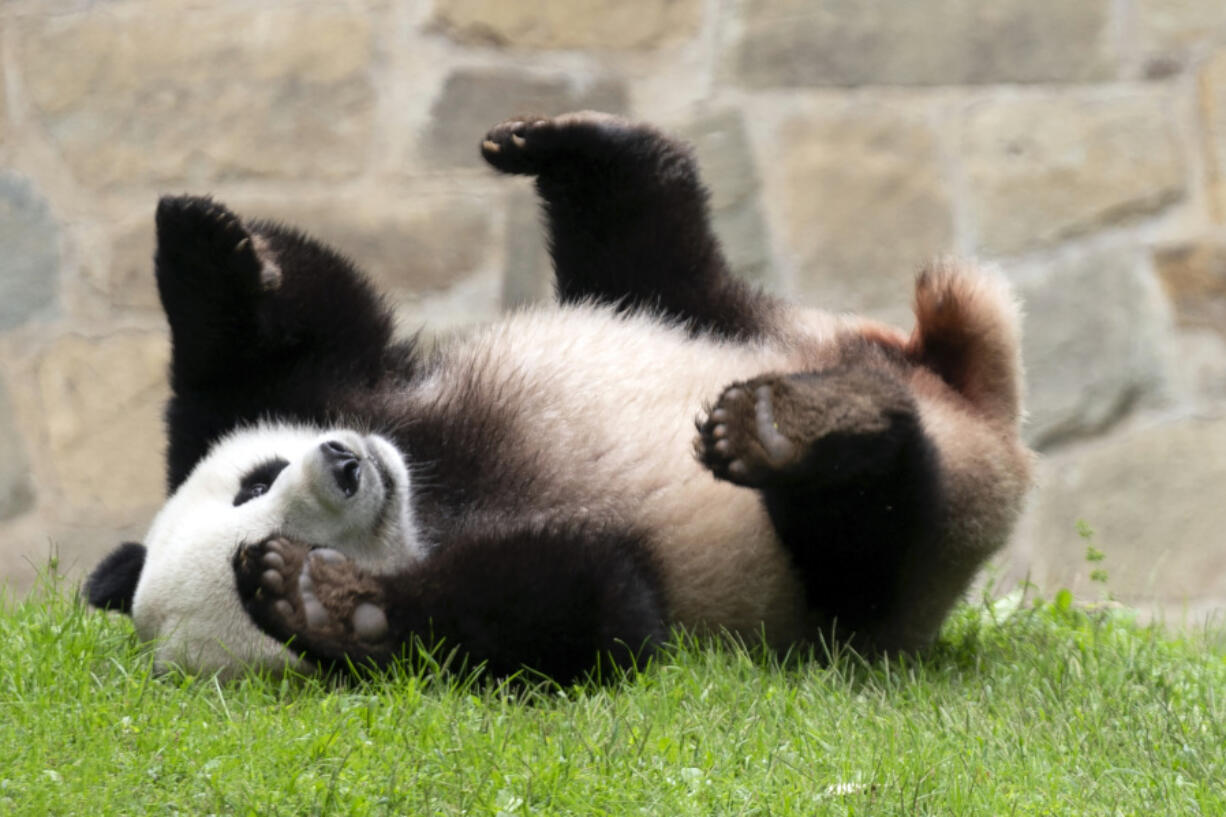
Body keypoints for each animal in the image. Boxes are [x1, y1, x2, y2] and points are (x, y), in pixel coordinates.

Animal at [81, 109, 1029, 682]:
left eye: (255, 480)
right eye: (278, 521)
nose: (346, 465)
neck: (432, 492)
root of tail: (977, 406)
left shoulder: (350, 392)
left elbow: (293, 337)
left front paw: (201, 242)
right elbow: (594, 612)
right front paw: (325, 602)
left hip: (739, 321)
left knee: (653, 250)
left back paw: (571, 147)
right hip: (876, 579)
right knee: (869, 528)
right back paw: (799, 431)